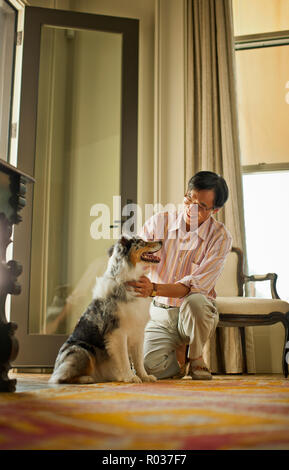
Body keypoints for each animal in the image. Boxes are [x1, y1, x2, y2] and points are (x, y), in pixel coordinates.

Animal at [49, 237, 162, 384]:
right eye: (142, 242)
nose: (161, 241)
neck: (129, 279)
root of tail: (57, 365)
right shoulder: (118, 332)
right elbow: (124, 358)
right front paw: (130, 377)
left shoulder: (138, 332)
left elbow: (138, 359)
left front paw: (145, 376)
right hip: (83, 350)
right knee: (60, 377)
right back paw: (86, 379)